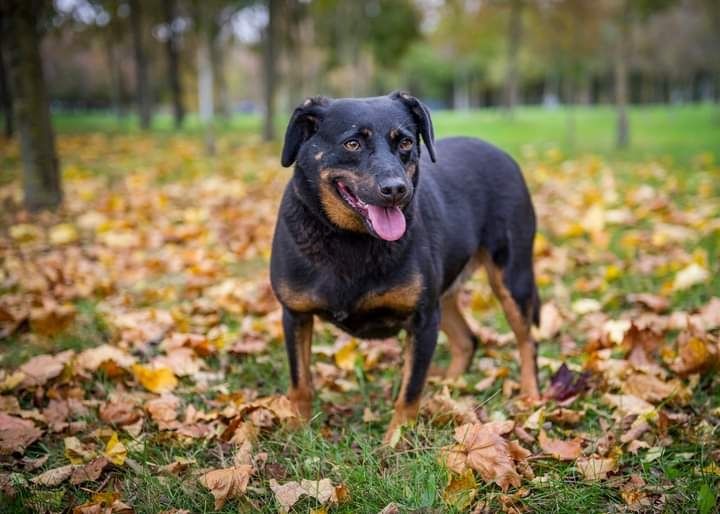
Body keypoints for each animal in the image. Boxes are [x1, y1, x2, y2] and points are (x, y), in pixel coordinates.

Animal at [270, 91, 540, 440]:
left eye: (406, 142)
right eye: (352, 144)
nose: (396, 188)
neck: (351, 239)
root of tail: (500, 152)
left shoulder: (422, 320)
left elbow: (410, 390)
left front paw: (396, 441)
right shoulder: (295, 315)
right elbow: (299, 381)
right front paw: (298, 430)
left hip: (512, 277)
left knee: (527, 340)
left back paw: (530, 397)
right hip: (445, 293)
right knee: (467, 340)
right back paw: (448, 390)